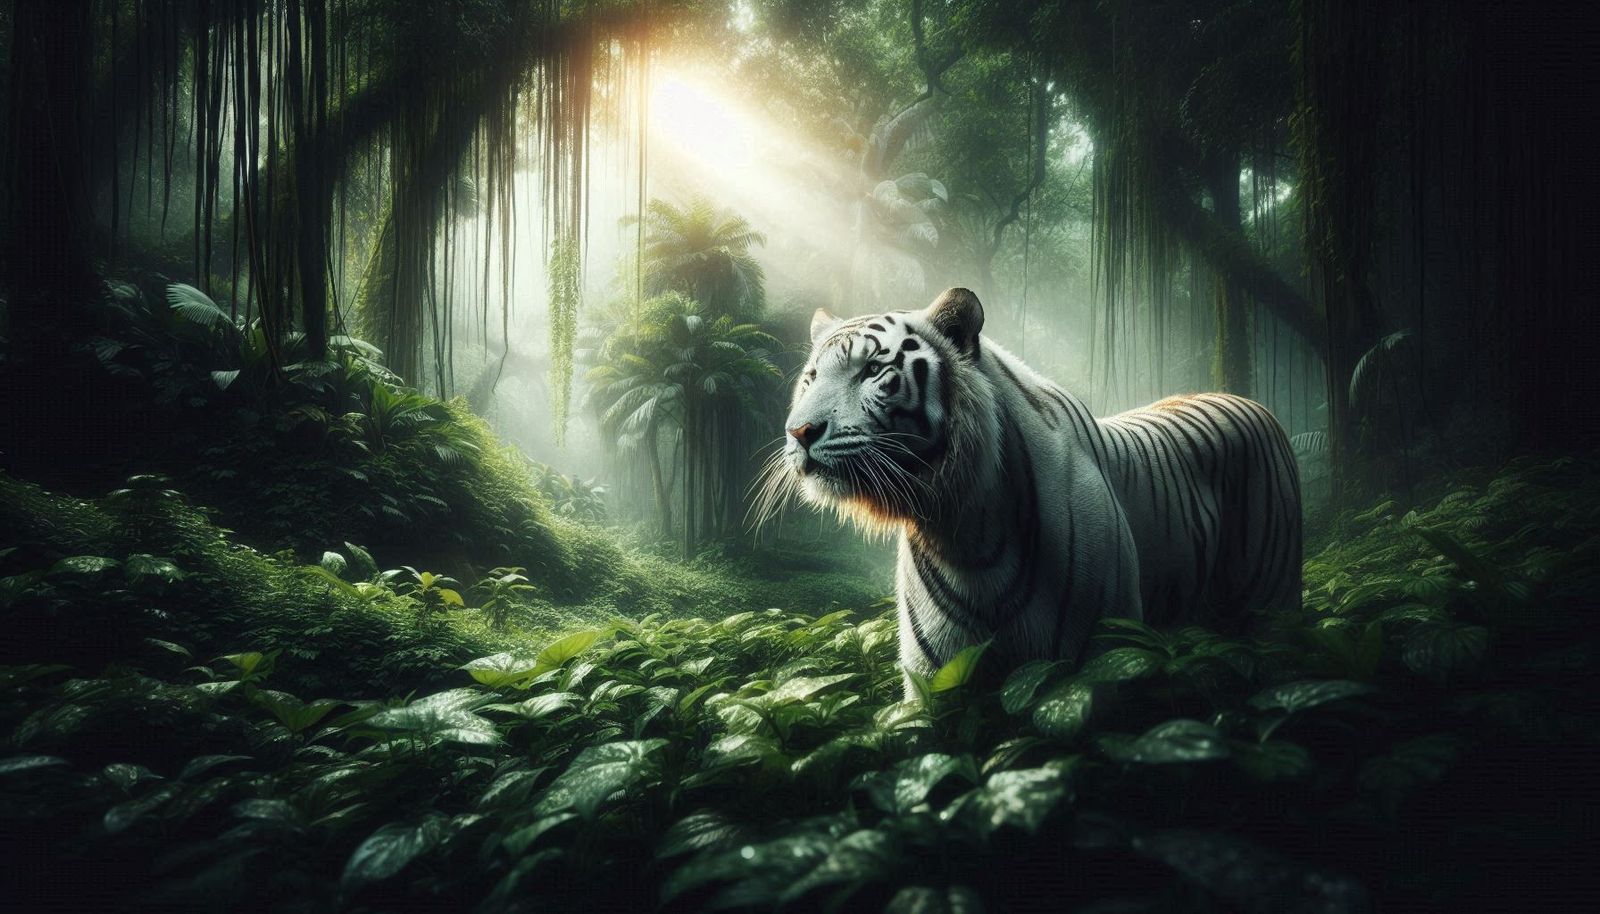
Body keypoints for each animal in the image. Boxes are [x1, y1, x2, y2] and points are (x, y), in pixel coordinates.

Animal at [765, 287, 1302, 690]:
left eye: (873, 371)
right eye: (811, 377)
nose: (799, 431)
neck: (967, 535)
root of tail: (1249, 401)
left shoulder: (1102, 659)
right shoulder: (937, 678)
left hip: (1273, 604)